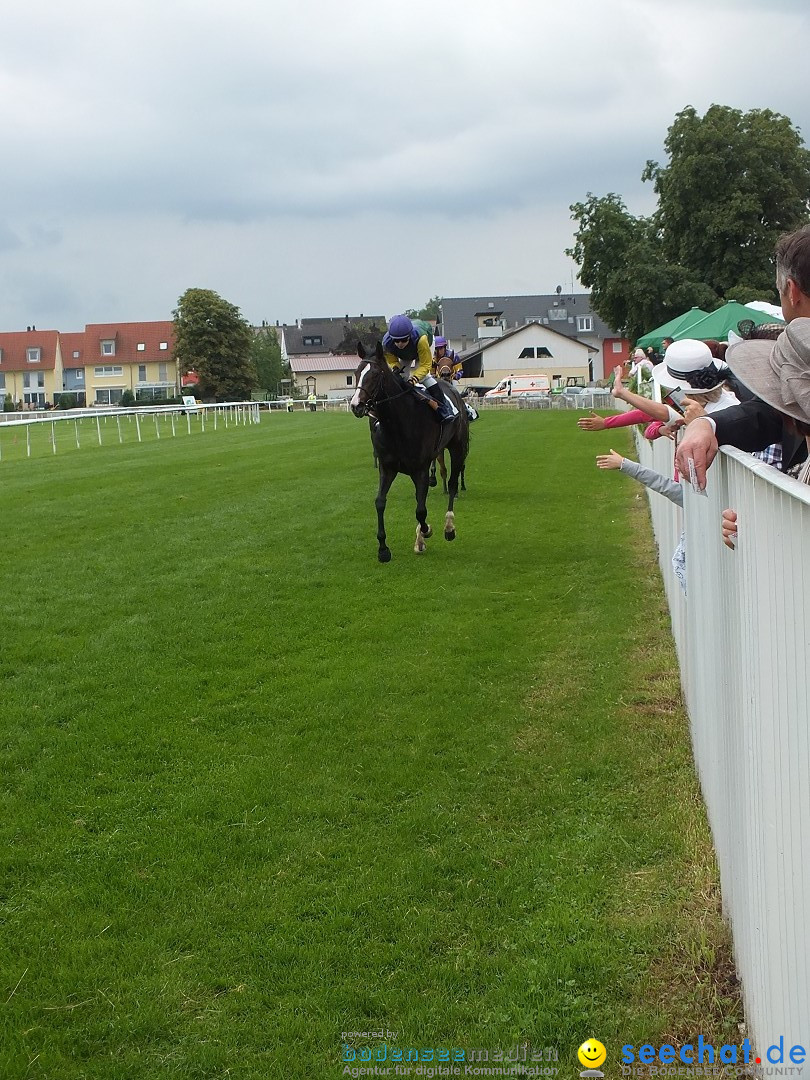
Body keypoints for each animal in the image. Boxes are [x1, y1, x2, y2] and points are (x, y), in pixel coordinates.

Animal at [349, 343, 468, 565]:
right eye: (356, 373)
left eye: (375, 375)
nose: (356, 405)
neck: (399, 424)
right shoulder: (387, 468)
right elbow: (380, 502)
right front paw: (383, 549)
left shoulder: (420, 469)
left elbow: (421, 510)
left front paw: (427, 531)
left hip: (458, 447)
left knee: (453, 483)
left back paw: (449, 526)